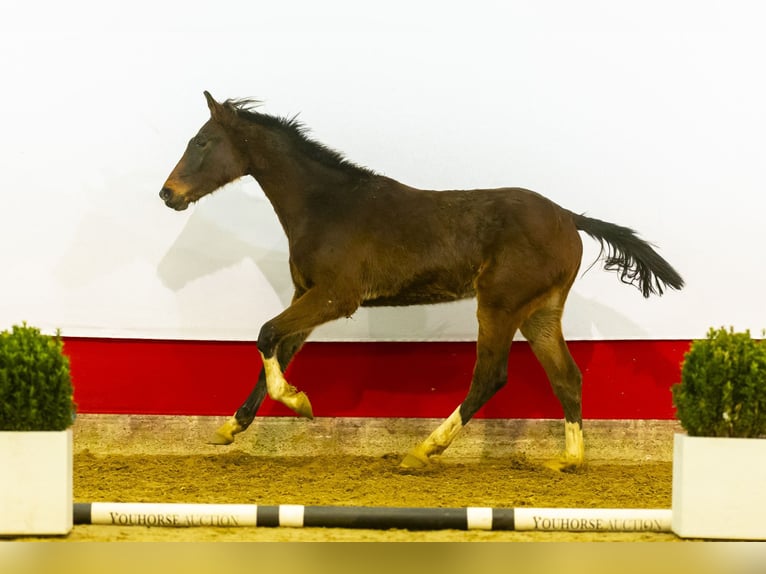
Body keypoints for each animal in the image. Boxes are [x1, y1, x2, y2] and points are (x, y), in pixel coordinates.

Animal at [159, 92, 688, 470]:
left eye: (201, 141)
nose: (168, 194)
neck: (326, 206)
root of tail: (568, 217)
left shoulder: (336, 297)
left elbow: (266, 333)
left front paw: (299, 402)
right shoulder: (307, 294)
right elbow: (278, 347)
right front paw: (230, 427)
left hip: (499, 304)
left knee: (490, 375)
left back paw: (422, 451)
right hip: (540, 311)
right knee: (567, 377)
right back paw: (569, 460)